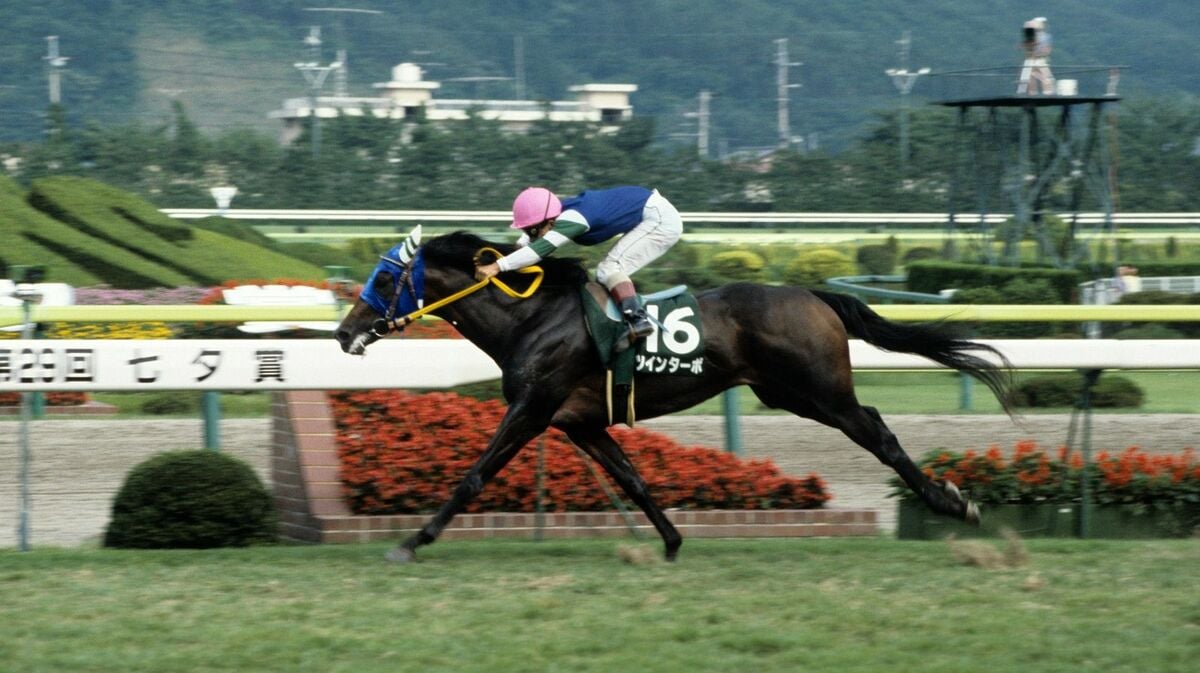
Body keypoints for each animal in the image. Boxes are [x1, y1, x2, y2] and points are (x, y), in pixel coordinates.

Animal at [331, 230, 1012, 561]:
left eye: (386, 279)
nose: (343, 332)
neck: (532, 319)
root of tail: (813, 294)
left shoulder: (532, 409)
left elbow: (473, 476)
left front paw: (412, 542)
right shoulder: (580, 422)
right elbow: (633, 480)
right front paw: (672, 541)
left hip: (819, 392)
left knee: (877, 430)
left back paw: (953, 504)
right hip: (788, 393)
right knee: (871, 426)